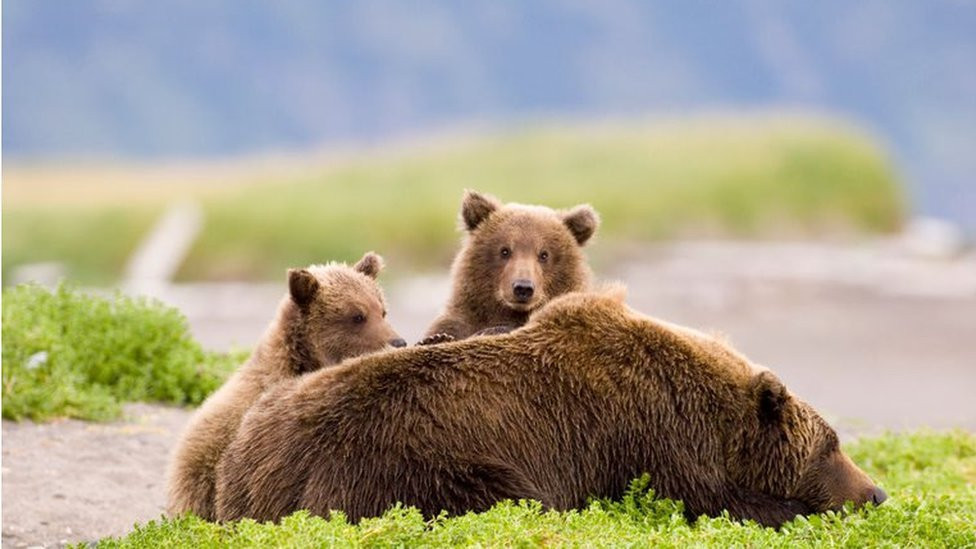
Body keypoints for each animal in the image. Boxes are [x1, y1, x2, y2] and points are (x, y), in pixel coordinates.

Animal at [214, 287, 886, 527]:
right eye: (832, 445)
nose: (877, 493)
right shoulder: (647, 436)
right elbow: (713, 499)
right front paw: (794, 509)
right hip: (407, 461)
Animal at [421, 189, 599, 343]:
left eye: (544, 254)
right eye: (505, 251)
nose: (523, 288)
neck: (509, 313)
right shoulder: (461, 320)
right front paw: (436, 338)